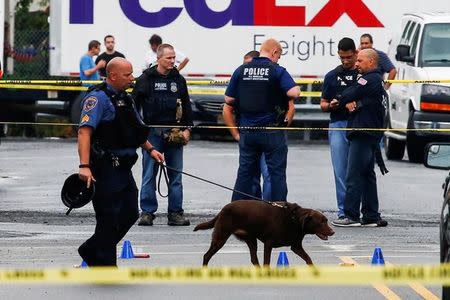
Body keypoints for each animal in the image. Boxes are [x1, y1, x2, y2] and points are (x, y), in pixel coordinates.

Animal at [78, 56, 164, 264]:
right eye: (127, 73)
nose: (132, 78)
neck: (115, 95)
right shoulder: (94, 103)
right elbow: (85, 132)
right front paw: (84, 172)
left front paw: (155, 153)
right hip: (108, 189)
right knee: (109, 218)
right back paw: (91, 253)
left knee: (124, 215)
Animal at [131, 42, 192, 225]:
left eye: (173, 58)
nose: (173, 62)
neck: (163, 75)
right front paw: (147, 214)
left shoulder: (183, 89)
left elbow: (184, 99)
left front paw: (177, 214)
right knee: (149, 179)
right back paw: (146, 215)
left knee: (175, 180)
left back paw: (176, 215)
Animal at [224, 38, 298, 202]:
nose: (278, 59)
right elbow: (293, 91)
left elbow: (228, 98)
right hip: (274, 147)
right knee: (276, 174)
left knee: (247, 174)